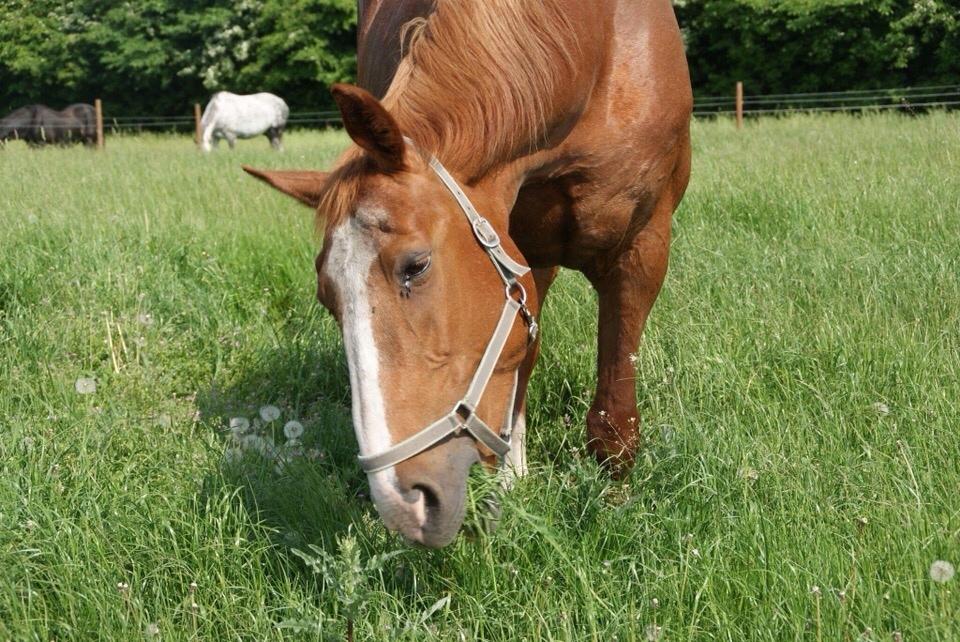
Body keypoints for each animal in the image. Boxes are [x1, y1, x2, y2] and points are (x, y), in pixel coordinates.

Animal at [244, 0, 688, 544]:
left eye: (415, 266)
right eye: (327, 298)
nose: (404, 504)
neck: (594, 44)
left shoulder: (643, 247)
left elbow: (614, 403)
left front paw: (613, 503)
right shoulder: (522, 248)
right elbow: (521, 354)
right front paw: (512, 480)